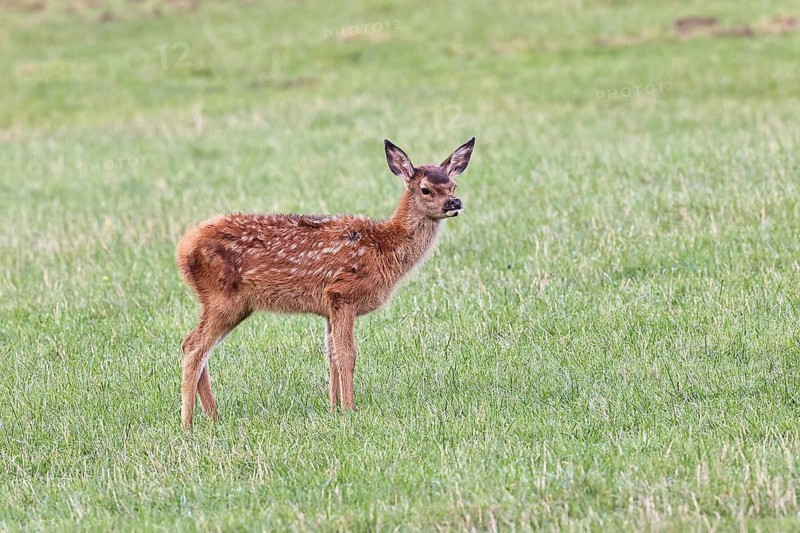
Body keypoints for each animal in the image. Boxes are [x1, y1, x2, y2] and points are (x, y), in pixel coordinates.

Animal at [176, 137, 475, 428]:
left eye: (453, 185)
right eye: (426, 189)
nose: (455, 203)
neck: (383, 247)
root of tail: (184, 248)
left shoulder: (329, 307)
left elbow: (331, 356)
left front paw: (334, 409)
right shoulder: (343, 293)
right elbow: (347, 355)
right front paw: (350, 409)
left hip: (231, 303)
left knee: (195, 345)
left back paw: (214, 417)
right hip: (223, 297)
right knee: (194, 346)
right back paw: (188, 422)